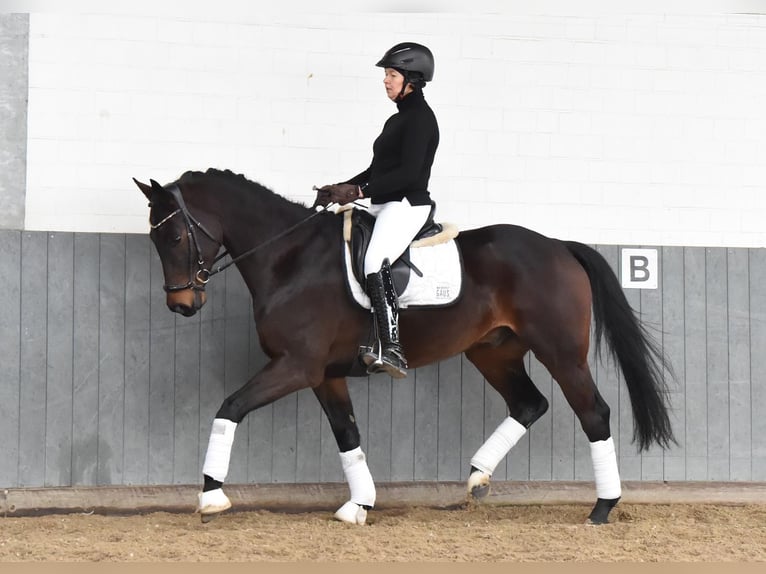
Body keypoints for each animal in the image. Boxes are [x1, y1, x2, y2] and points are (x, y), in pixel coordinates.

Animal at [135, 170, 676, 528]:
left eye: (176, 234)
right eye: (154, 238)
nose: (182, 305)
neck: (290, 258)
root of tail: (559, 246)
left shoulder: (296, 366)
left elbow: (229, 408)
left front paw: (211, 496)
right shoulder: (325, 373)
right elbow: (347, 434)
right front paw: (359, 505)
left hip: (560, 351)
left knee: (593, 412)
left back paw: (602, 507)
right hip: (493, 351)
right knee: (529, 403)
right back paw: (477, 478)